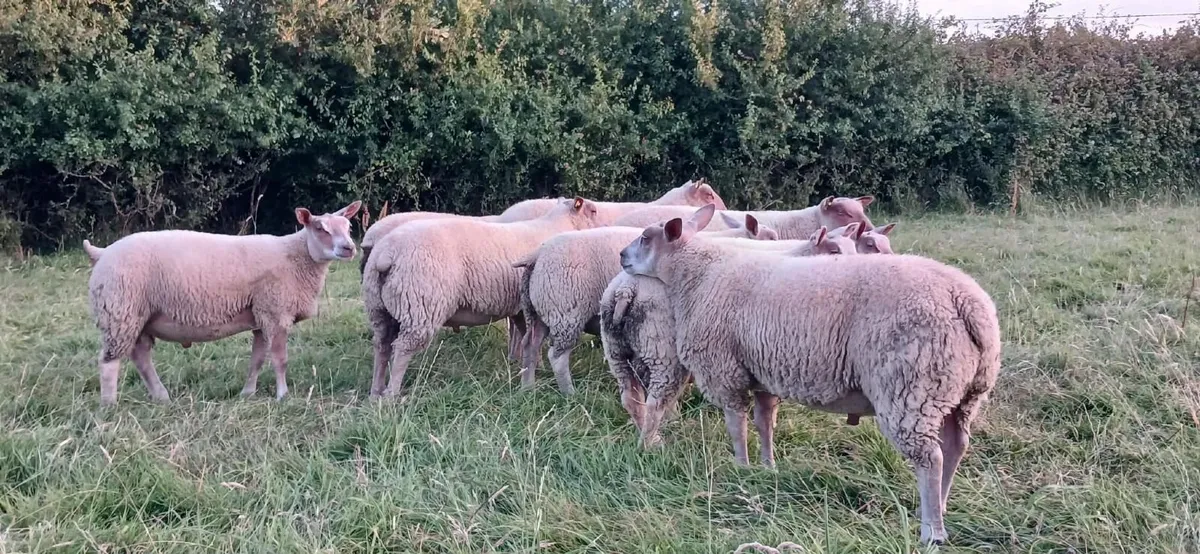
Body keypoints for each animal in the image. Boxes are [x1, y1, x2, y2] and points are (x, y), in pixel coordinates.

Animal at [82, 201, 363, 406]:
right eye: (320, 228)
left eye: (348, 227)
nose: (349, 248)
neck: (296, 255)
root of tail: (102, 253)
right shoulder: (276, 312)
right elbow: (279, 359)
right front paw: (283, 396)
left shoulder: (260, 315)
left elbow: (257, 359)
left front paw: (247, 393)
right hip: (120, 312)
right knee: (109, 363)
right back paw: (109, 407)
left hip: (136, 317)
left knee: (140, 358)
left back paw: (161, 397)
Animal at [362, 196, 603, 398]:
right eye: (593, 210)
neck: (560, 226)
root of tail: (386, 254)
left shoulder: (521, 306)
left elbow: (526, 335)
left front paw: (527, 364)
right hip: (420, 306)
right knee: (402, 349)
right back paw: (391, 396)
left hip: (379, 308)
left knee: (382, 346)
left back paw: (375, 392)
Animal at [513, 212, 775, 395]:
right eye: (771, 238)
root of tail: (537, 255)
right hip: (566, 312)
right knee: (557, 356)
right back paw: (569, 393)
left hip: (542, 311)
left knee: (530, 344)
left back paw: (528, 387)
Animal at [599, 224, 857, 449]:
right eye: (834, 251)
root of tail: (624, 290)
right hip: (661, 348)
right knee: (657, 397)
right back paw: (654, 441)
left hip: (616, 350)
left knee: (632, 396)